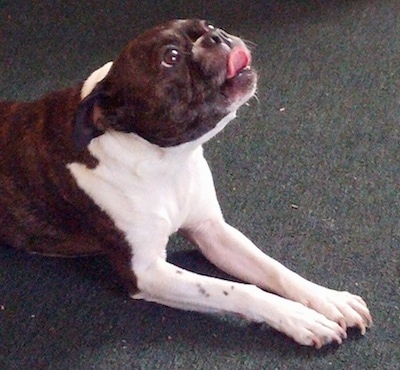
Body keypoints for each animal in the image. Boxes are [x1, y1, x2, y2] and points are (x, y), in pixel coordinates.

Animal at [0, 18, 372, 348]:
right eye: (172, 57)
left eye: (207, 25)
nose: (216, 35)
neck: (166, 162)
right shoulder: (147, 272)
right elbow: (238, 289)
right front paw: (300, 318)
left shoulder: (212, 231)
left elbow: (273, 269)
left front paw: (328, 300)